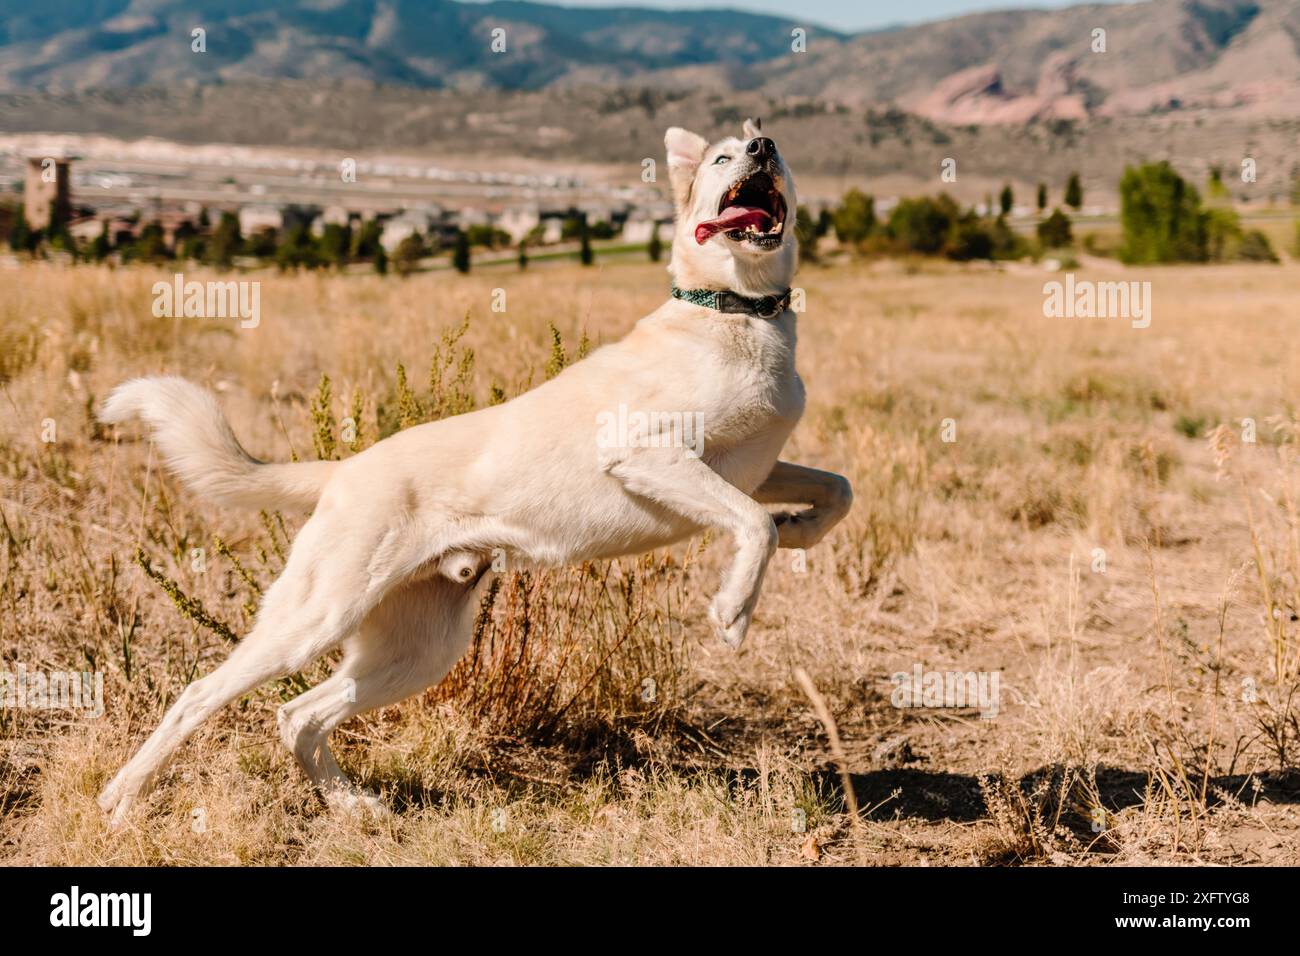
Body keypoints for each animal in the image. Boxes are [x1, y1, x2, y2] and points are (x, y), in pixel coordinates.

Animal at [98, 119, 852, 822]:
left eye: (773, 151)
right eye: (724, 158)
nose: (761, 146)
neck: (738, 314)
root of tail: (341, 469)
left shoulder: (754, 467)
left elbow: (833, 490)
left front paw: (803, 529)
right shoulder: (646, 453)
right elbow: (754, 524)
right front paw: (734, 609)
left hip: (416, 650)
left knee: (299, 715)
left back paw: (350, 806)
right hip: (315, 618)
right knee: (201, 695)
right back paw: (123, 798)